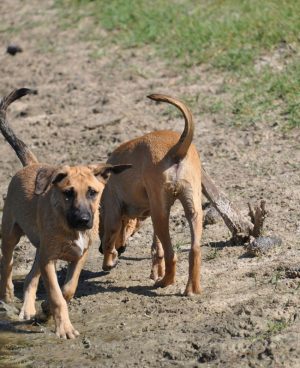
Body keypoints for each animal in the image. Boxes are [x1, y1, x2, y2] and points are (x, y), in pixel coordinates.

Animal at [0, 87, 131, 338]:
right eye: (68, 193)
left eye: (93, 192)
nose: (83, 220)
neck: (68, 226)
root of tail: (30, 165)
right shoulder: (49, 259)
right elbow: (56, 294)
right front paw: (64, 327)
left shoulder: (78, 256)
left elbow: (67, 290)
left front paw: (45, 309)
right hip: (11, 233)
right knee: (8, 263)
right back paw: (8, 295)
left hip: (40, 249)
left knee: (30, 277)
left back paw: (29, 308)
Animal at [99, 94, 203, 296]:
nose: (121, 249)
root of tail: (175, 149)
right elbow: (157, 248)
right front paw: (156, 270)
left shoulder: (113, 213)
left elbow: (109, 239)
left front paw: (108, 262)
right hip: (191, 210)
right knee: (193, 250)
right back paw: (191, 288)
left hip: (161, 214)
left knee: (172, 255)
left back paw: (165, 282)